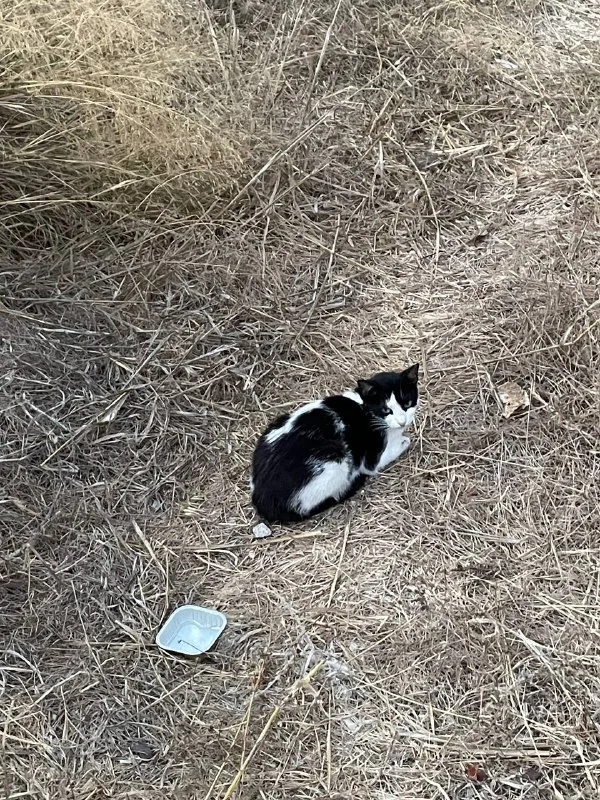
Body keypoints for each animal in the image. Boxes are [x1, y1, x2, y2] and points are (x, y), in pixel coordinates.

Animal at [251, 364, 419, 523]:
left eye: (408, 403)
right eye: (386, 410)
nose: (402, 422)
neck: (365, 406)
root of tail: (262, 499)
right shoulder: (371, 457)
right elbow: (400, 445)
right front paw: (404, 440)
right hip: (336, 460)